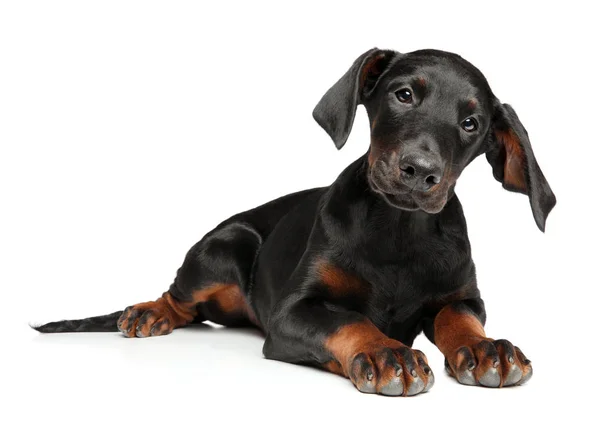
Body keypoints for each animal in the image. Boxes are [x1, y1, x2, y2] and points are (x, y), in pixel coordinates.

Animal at [35, 48, 556, 396]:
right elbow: (348, 319)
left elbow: (458, 317)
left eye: (471, 124)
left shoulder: (462, 295)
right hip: (227, 245)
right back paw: (150, 311)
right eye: (403, 95)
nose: (420, 171)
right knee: (180, 298)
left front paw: (489, 349)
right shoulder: (291, 312)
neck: (398, 229)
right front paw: (385, 353)